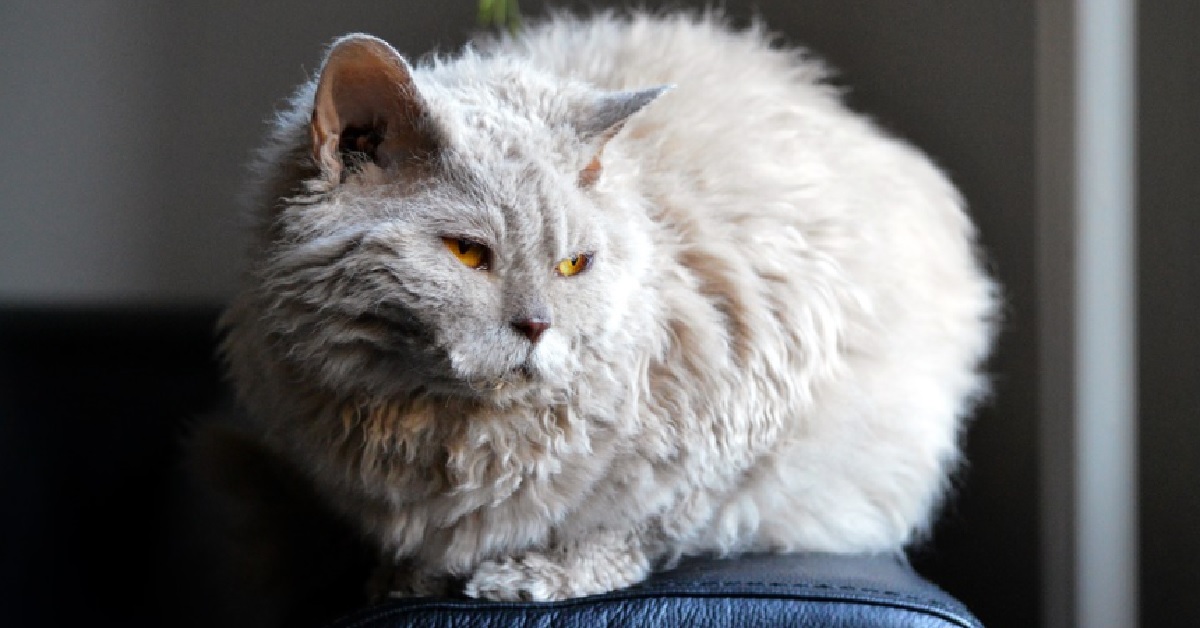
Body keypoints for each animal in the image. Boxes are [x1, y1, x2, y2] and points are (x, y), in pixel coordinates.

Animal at [213, 8, 993, 605]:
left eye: (573, 265)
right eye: (467, 253)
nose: (537, 326)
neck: (434, 431)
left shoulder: (758, 401)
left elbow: (638, 523)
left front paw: (528, 577)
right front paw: (407, 578)